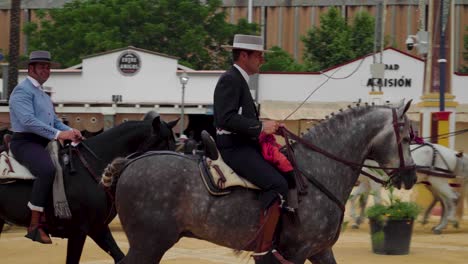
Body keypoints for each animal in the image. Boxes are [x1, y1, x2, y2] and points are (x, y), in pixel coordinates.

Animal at [104, 100, 414, 262]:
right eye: (407, 137)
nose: (411, 175)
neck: (317, 172)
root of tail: (130, 163)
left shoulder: (320, 250)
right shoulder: (295, 252)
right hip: (149, 244)